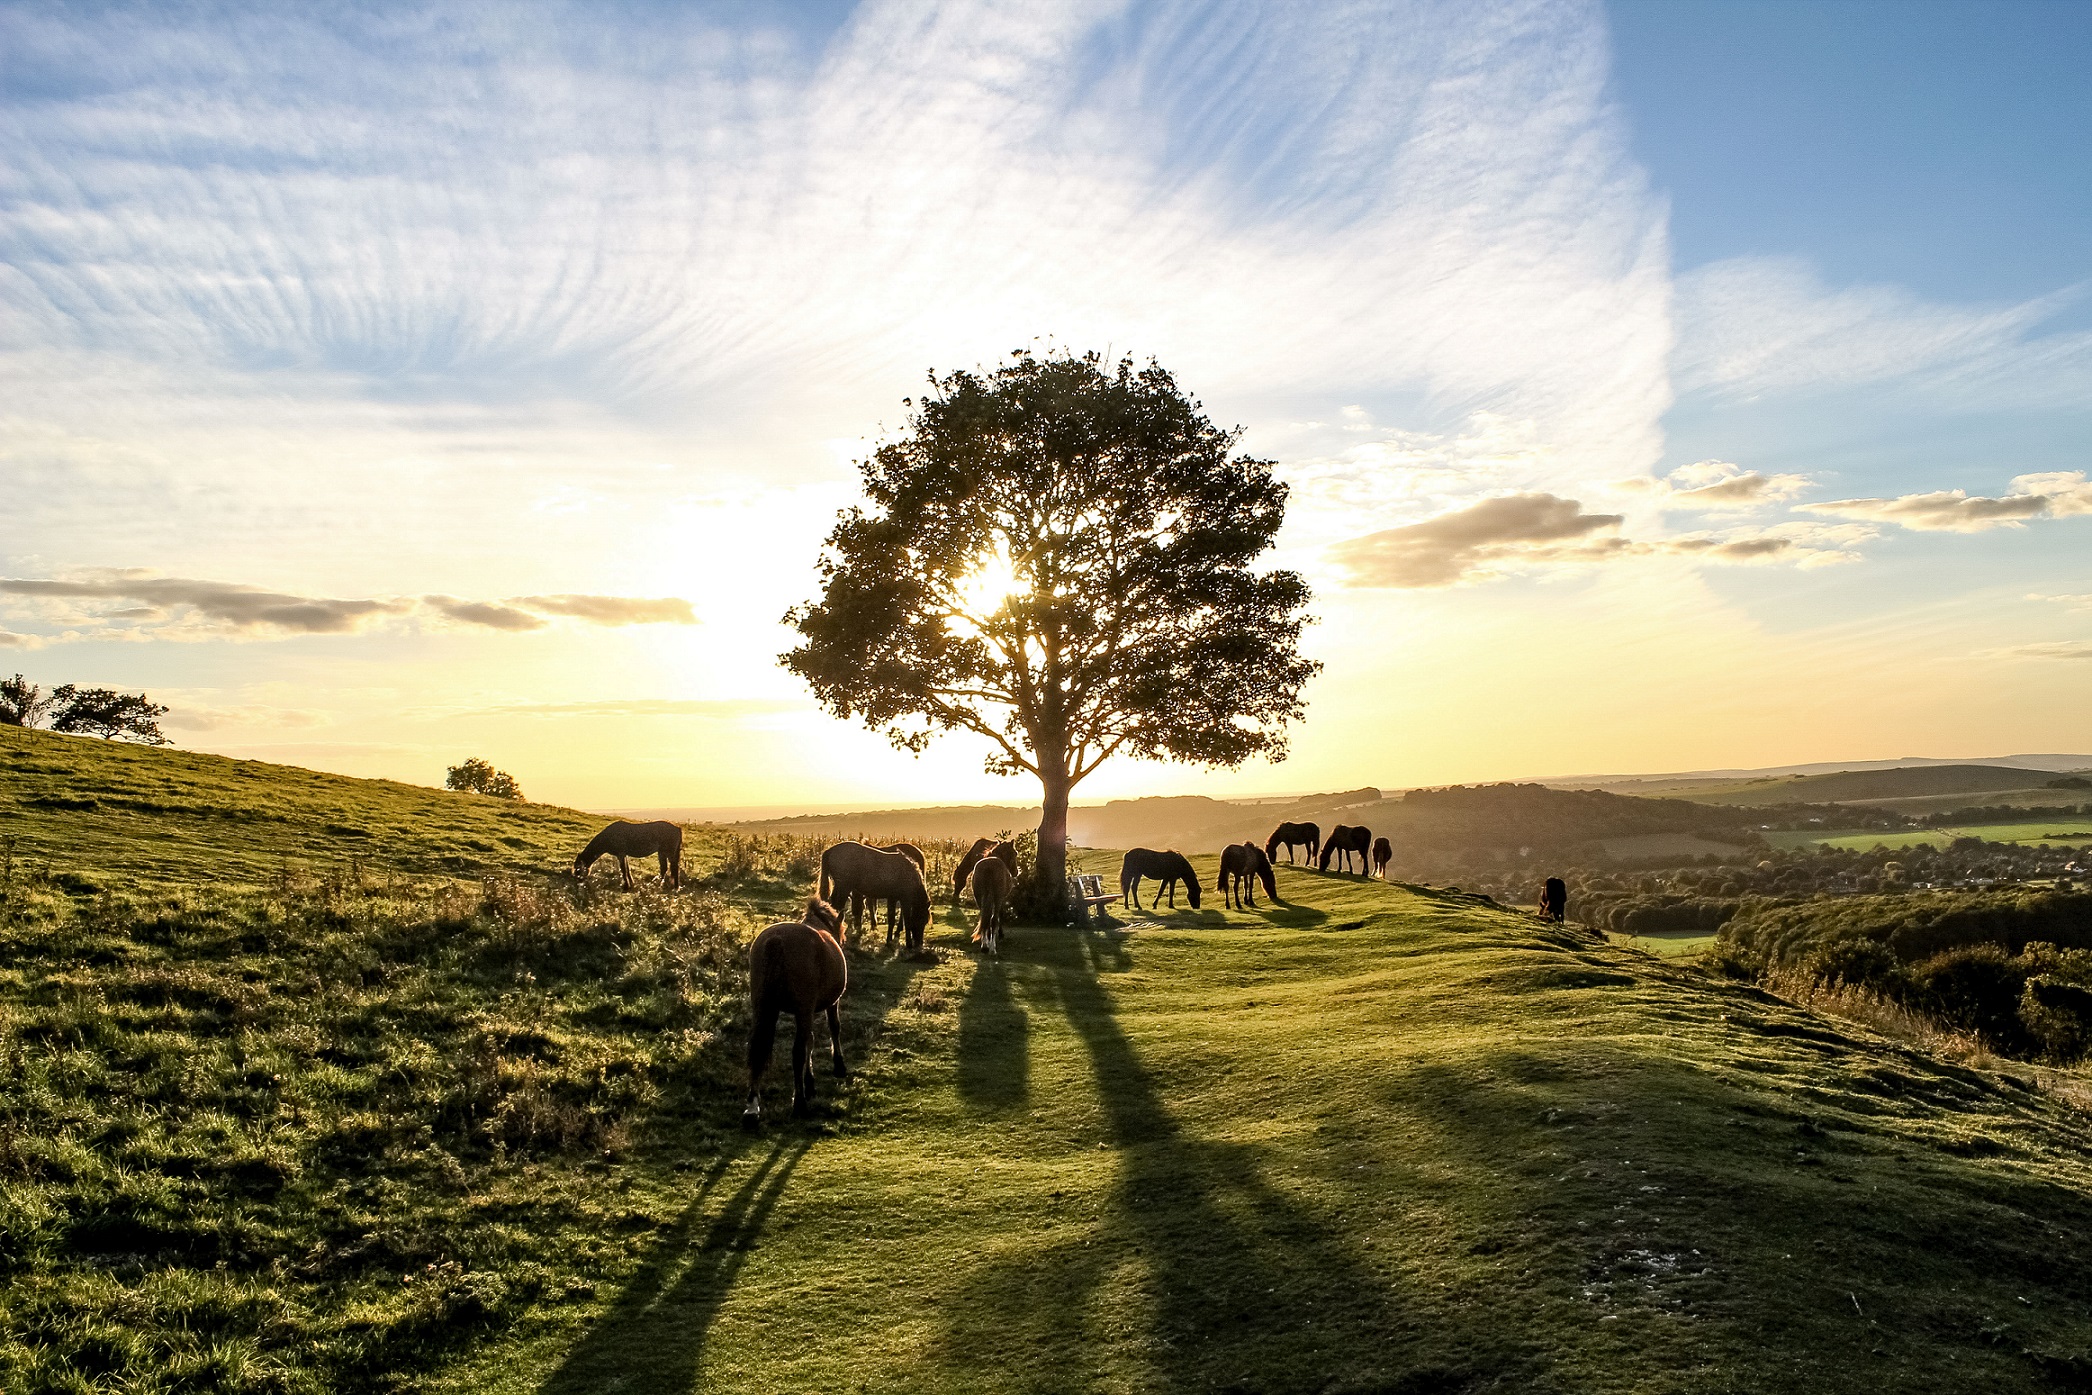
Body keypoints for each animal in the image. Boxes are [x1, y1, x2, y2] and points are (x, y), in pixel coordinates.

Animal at [740, 899, 845, 1129]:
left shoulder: (807, 1011)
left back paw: (752, 1107)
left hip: (763, 1007)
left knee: (756, 1050)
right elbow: (833, 1029)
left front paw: (810, 1082)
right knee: (796, 1052)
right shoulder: (826, 1004)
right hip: (802, 1009)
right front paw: (839, 1066)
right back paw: (799, 1104)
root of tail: (777, 940)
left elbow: (810, 1041)